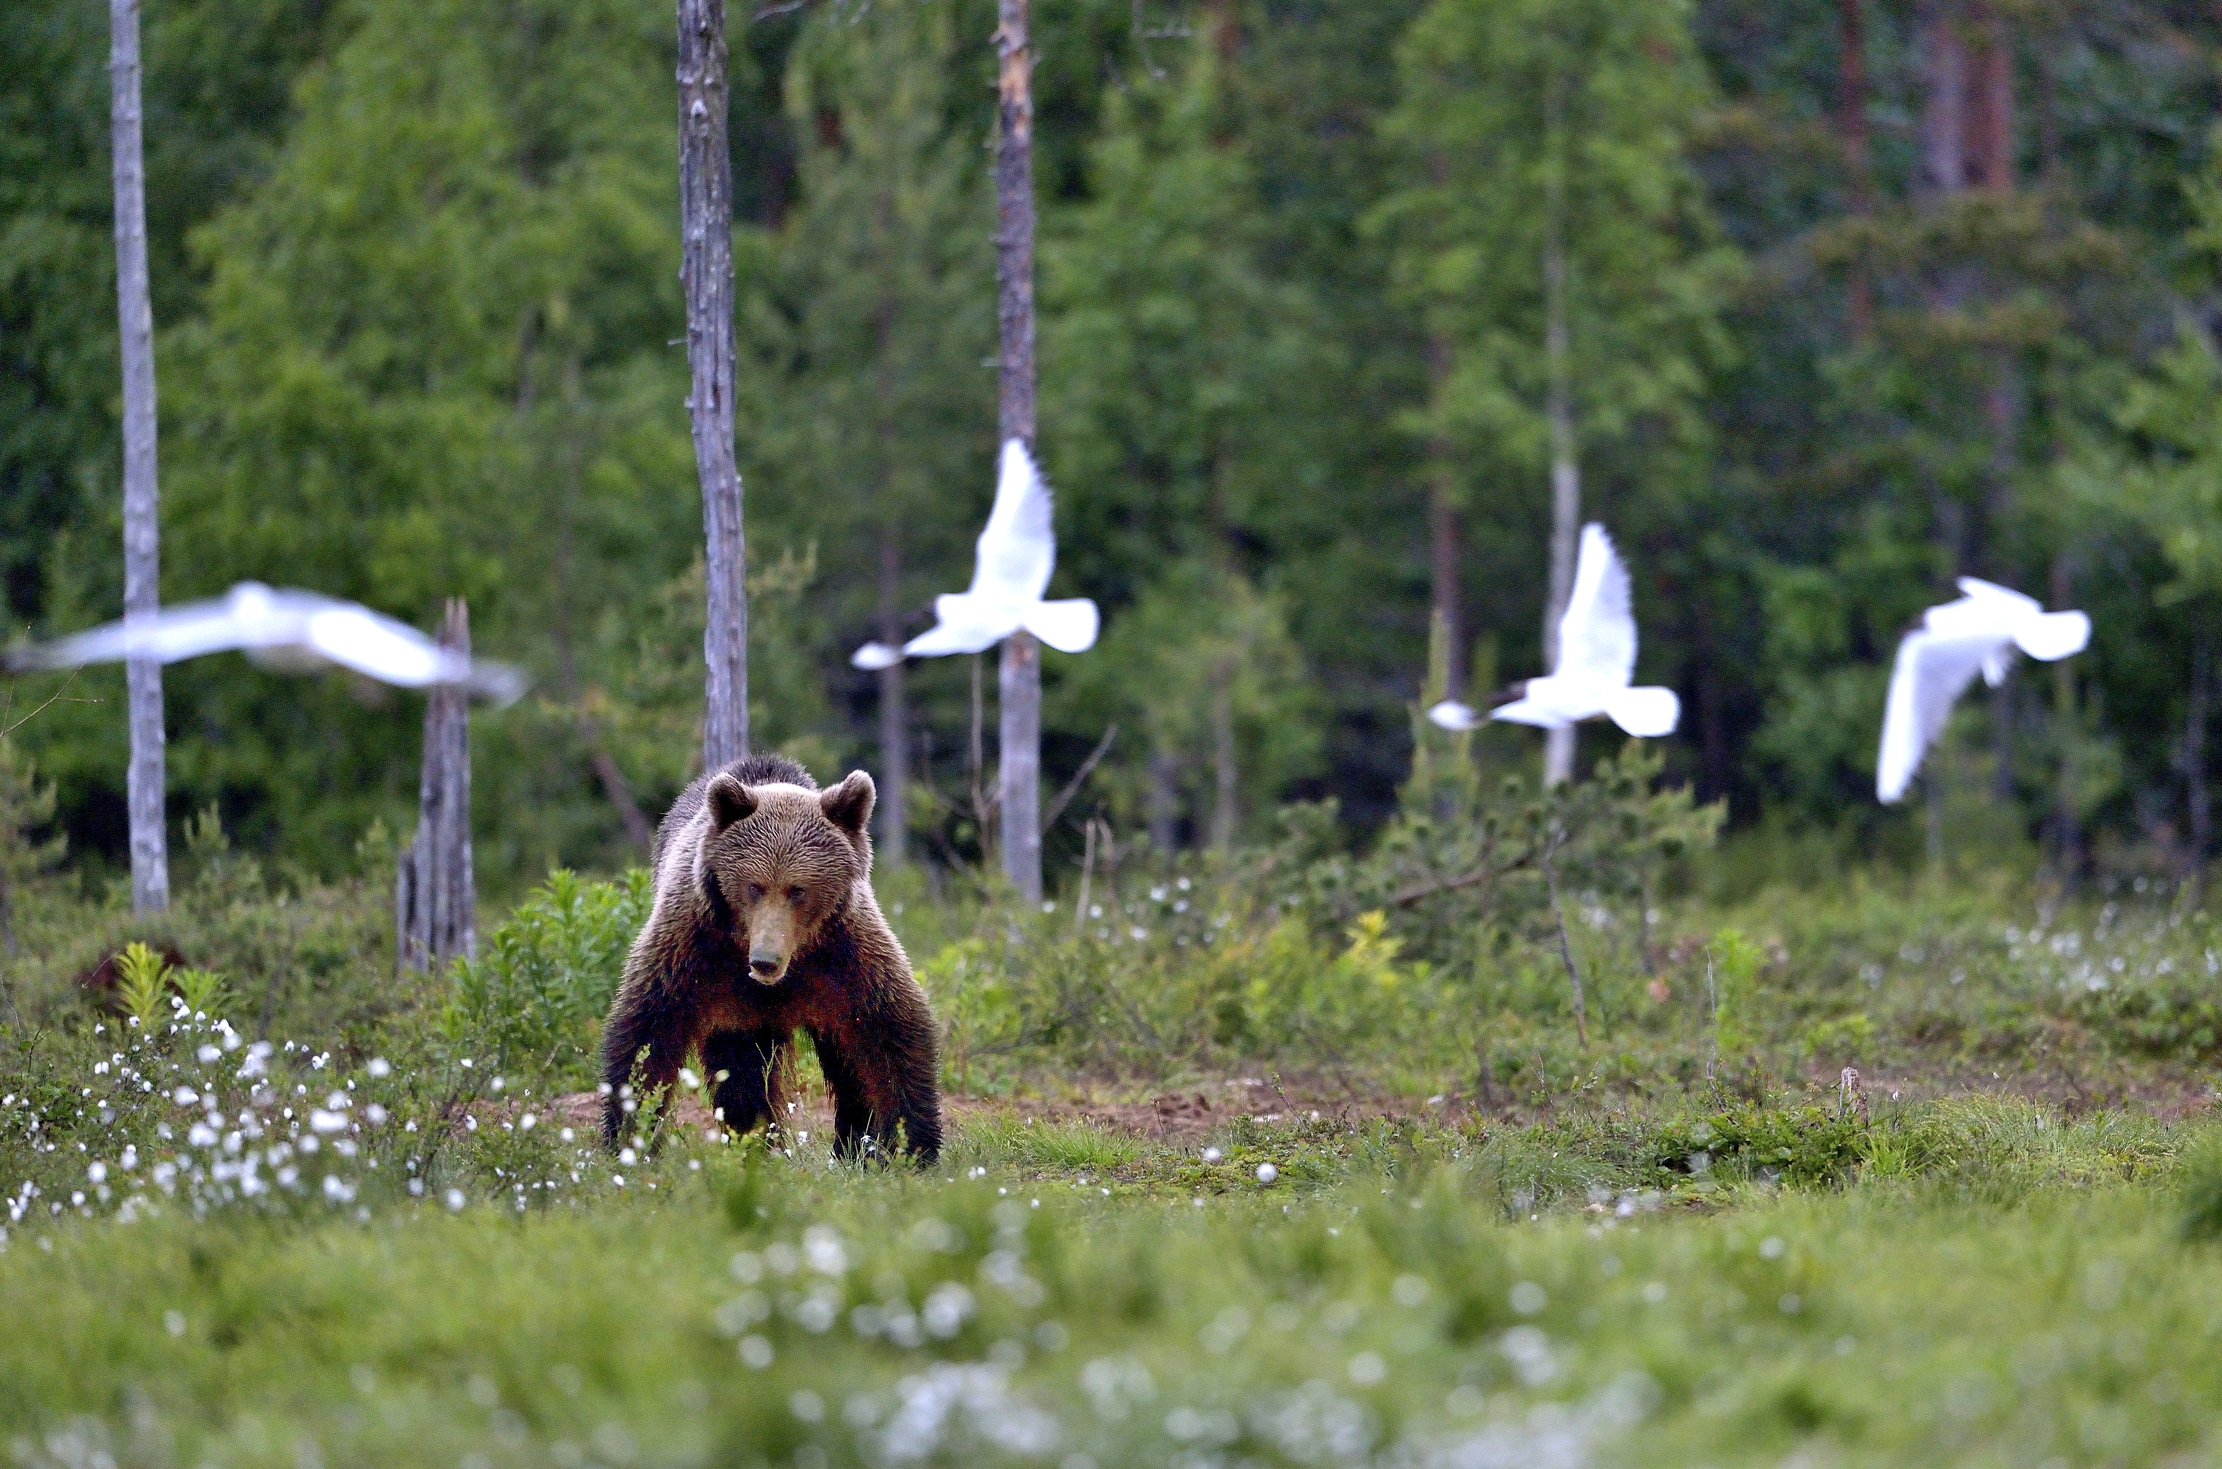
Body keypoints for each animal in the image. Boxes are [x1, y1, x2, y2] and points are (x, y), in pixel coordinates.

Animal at [598, 752, 942, 1163]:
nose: (764, 961)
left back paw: (848, 1145)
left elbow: (888, 1032)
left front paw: (912, 1145)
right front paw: (627, 1135)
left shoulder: (845, 952)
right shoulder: (692, 945)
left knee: (844, 1062)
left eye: (799, 890)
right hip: (736, 1011)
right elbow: (649, 1031)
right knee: (743, 1072)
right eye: (753, 886)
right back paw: (755, 1140)